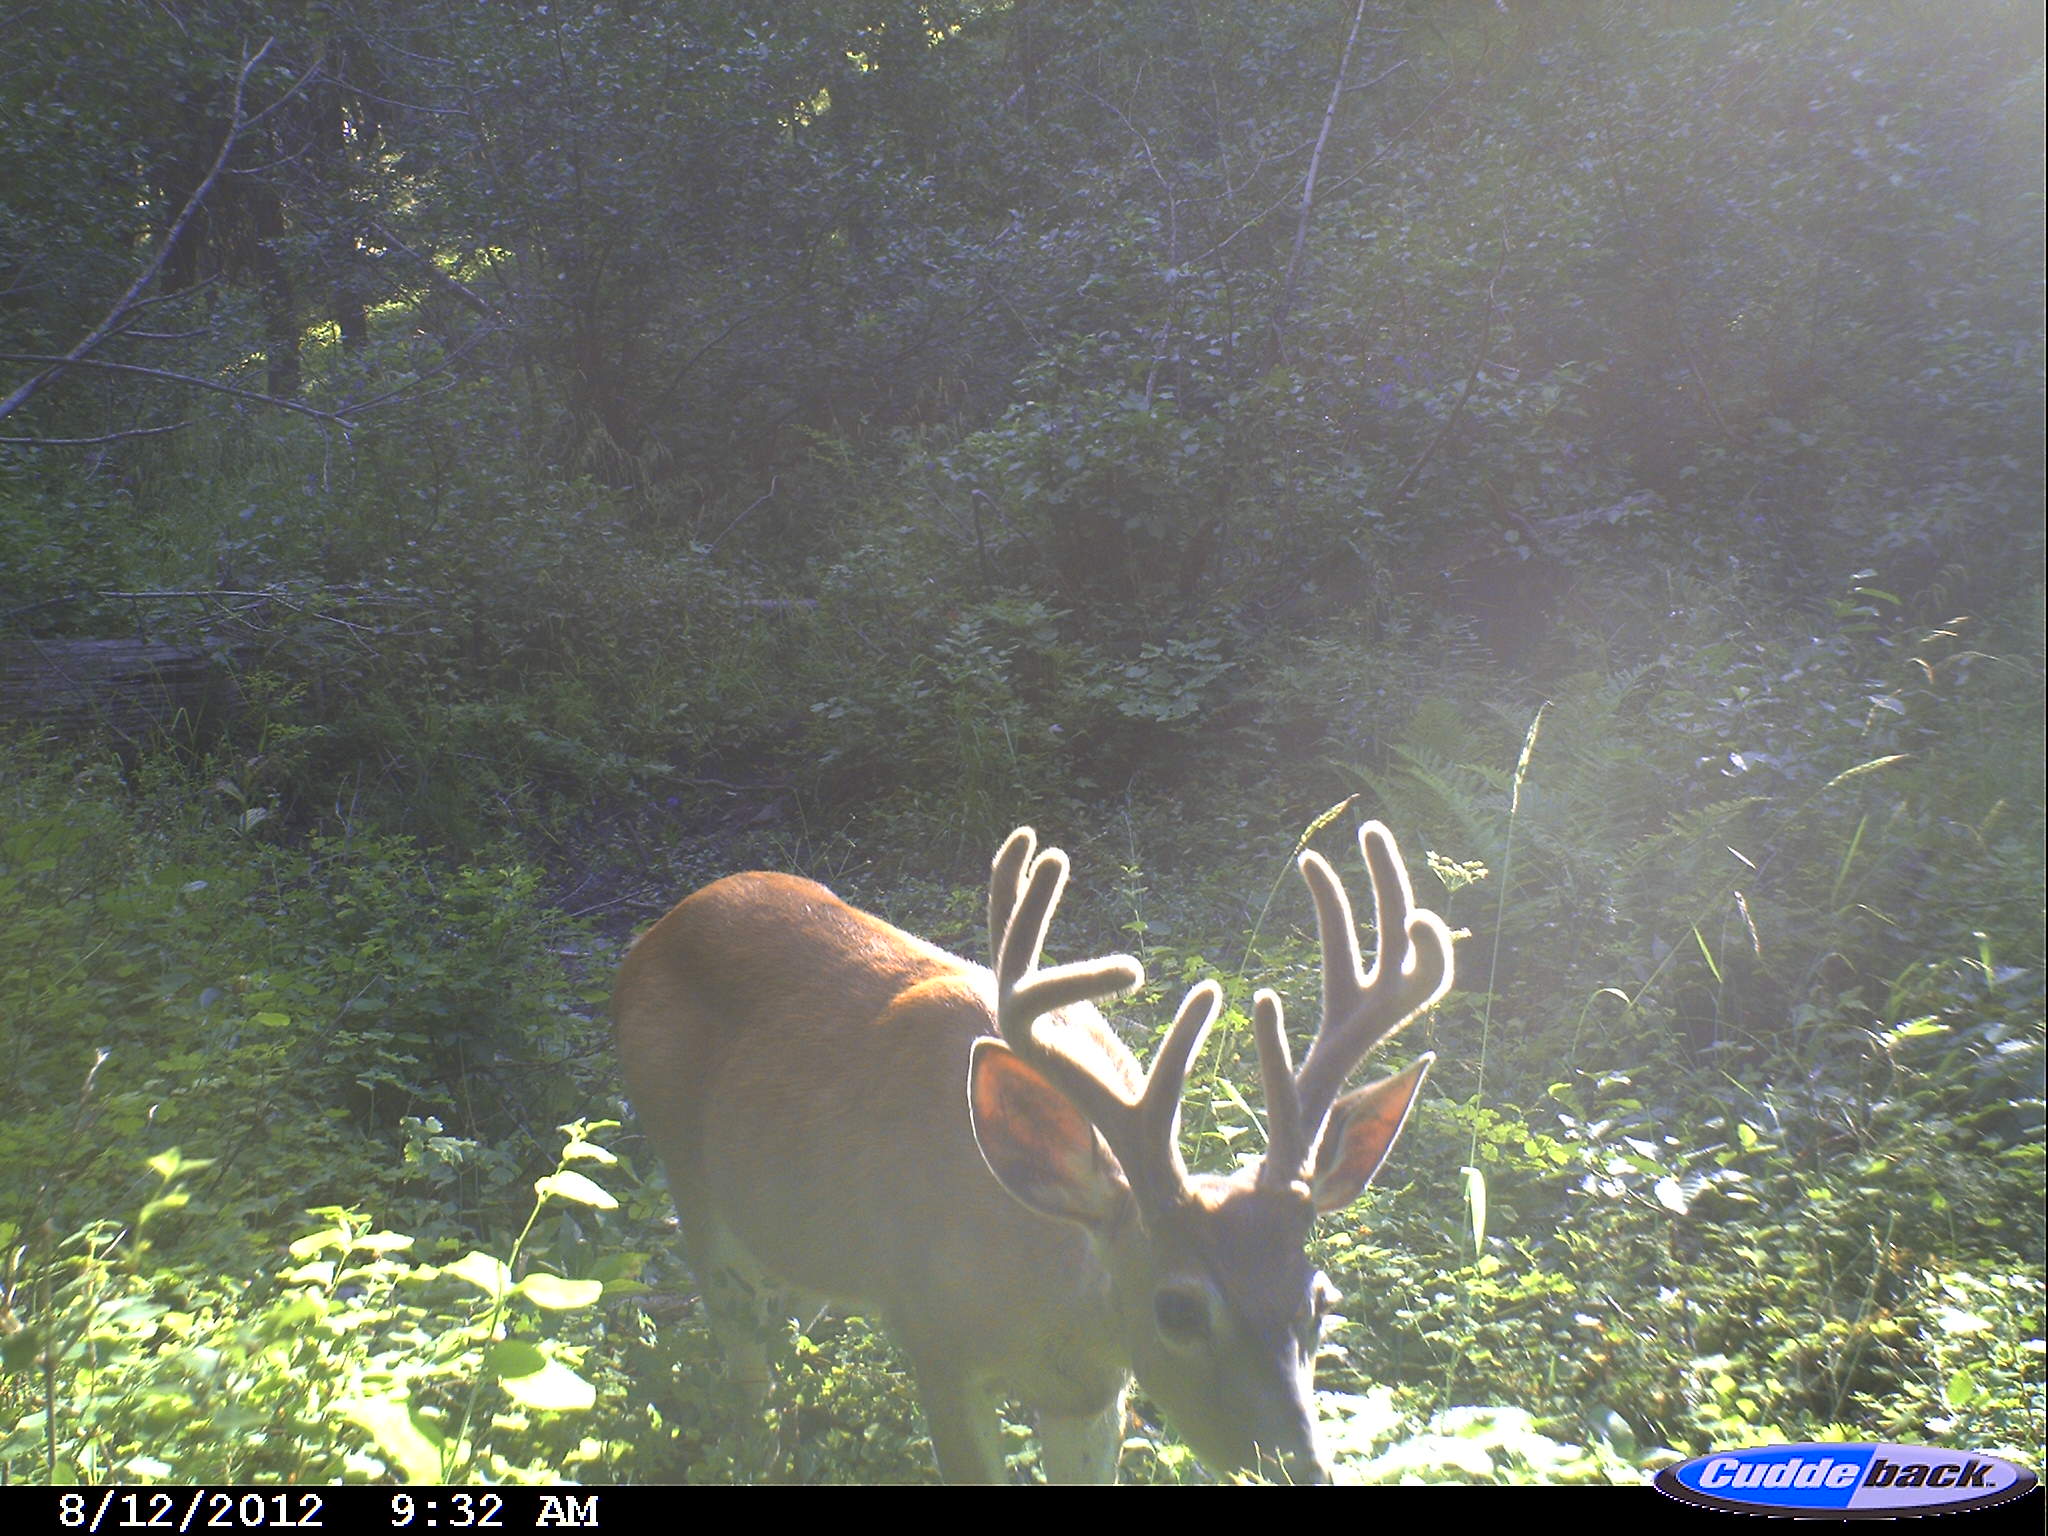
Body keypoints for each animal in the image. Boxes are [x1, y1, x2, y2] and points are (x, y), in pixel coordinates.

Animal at [611, 821, 1453, 1483]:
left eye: (1320, 1301)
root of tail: (655, 930)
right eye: (1178, 1309)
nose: (1302, 1468)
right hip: (694, 1188)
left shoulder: (1094, 1394)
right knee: (742, 1368)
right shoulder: (934, 1344)